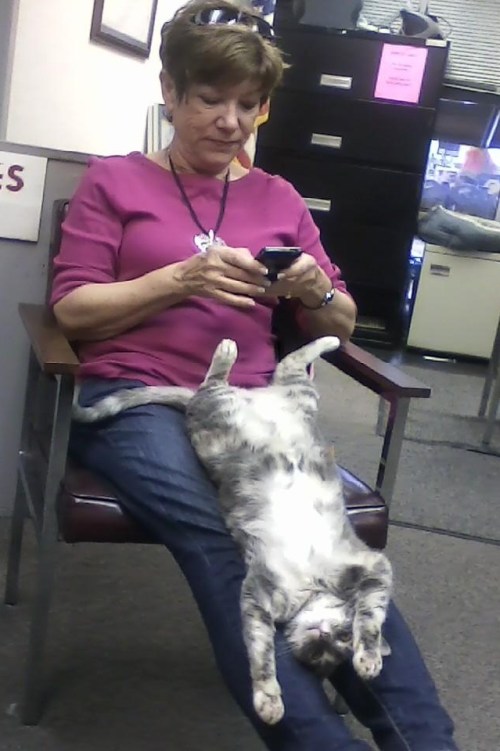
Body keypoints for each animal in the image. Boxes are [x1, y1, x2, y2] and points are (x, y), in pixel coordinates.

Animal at [73, 336, 393, 725]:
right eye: (342, 638)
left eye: (323, 656)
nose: (324, 636)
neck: (311, 587)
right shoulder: (356, 567)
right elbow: (268, 652)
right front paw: (274, 696)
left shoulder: (277, 589)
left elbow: (364, 614)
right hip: (263, 399)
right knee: (254, 369)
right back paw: (258, 347)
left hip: (288, 396)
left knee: (283, 365)